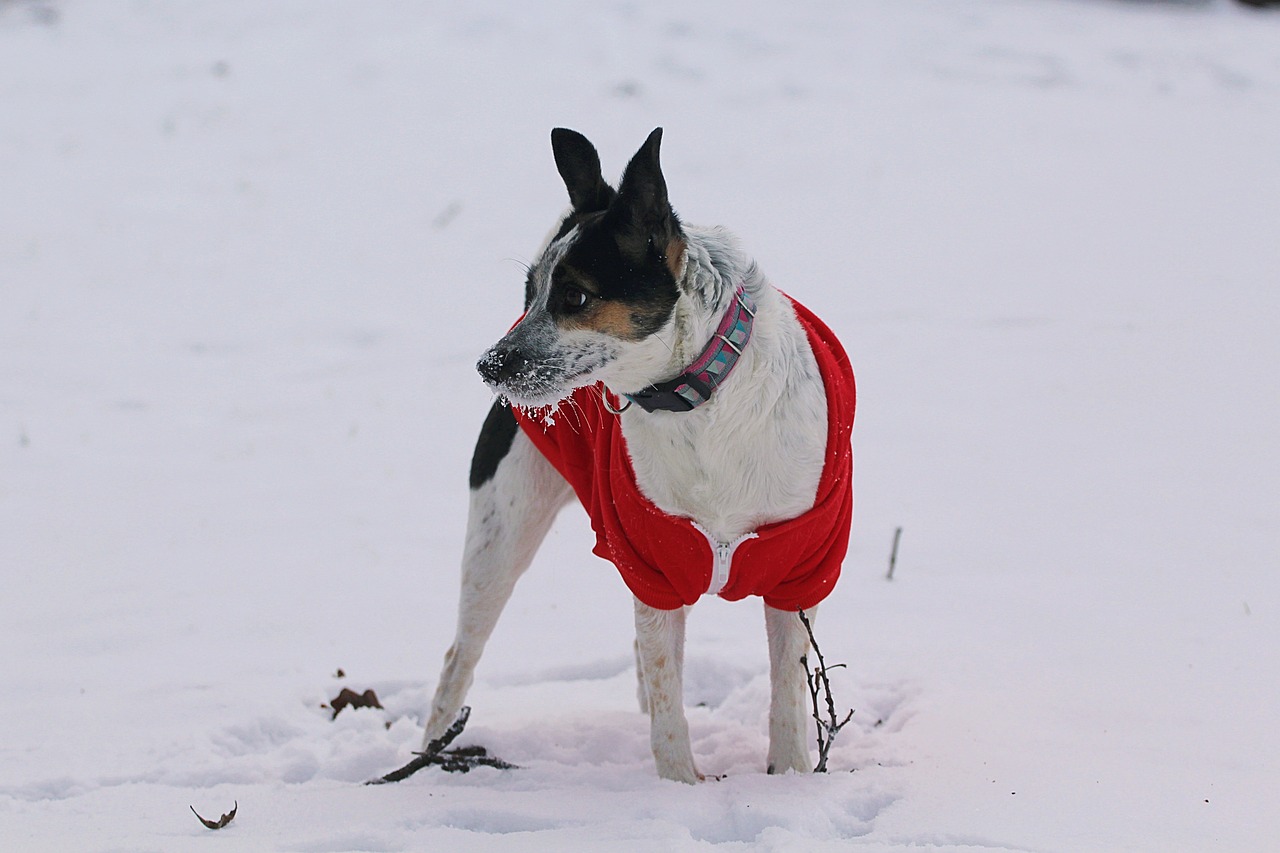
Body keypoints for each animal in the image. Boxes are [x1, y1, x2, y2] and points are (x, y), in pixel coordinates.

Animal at [424, 126, 855, 778]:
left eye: (575, 296)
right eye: (528, 293)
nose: (489, 365)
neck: (701, 404)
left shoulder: (799, 567)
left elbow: (786, 692)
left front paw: (790, 778)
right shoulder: (656, 563)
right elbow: (666, 692)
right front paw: (680, 785)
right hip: (500, 538)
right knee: (458, 660)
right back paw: (426, 756)